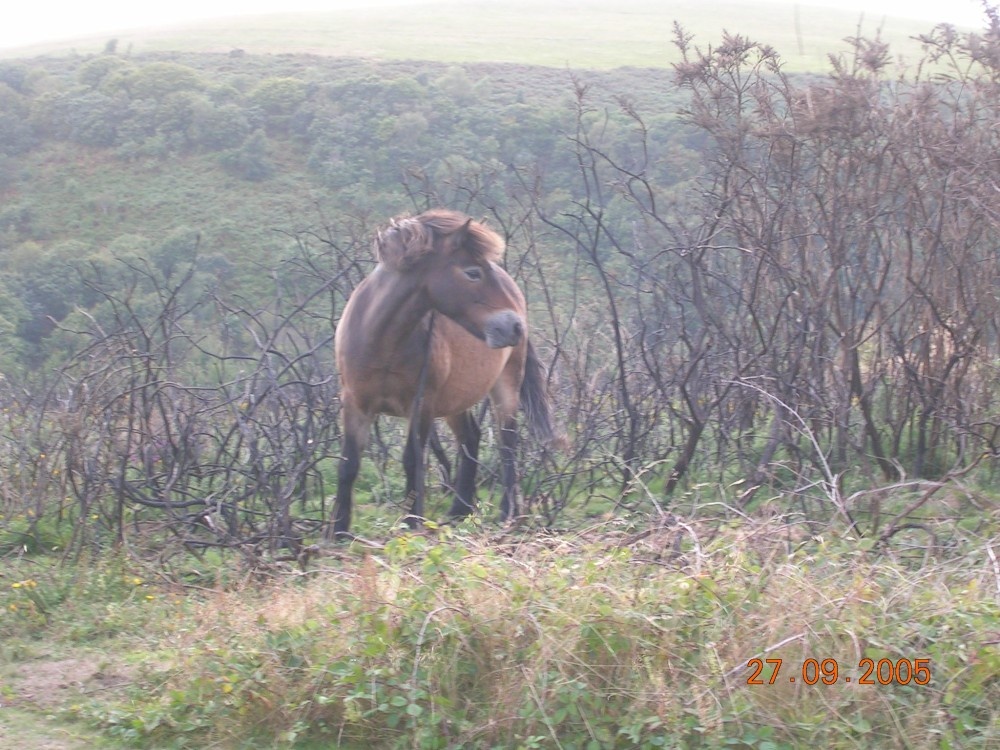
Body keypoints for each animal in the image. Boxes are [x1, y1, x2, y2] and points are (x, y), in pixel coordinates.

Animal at [326, 209, 555, 539]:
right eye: (472, 272)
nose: (514, 326)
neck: (382, 342)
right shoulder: (355, 403)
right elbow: (349, 464)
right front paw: (338, 531)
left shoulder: (420, 405)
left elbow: (412, 460)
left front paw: (412, 522)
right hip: (456, 399)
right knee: (470, 438)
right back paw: (459, 511)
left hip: (505, 385)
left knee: (507, 443)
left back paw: (508, 513)